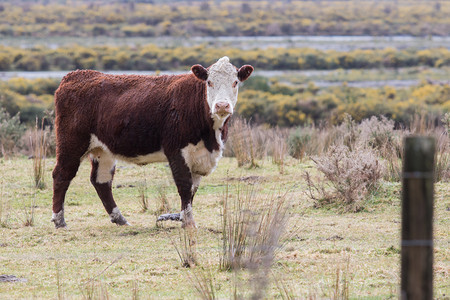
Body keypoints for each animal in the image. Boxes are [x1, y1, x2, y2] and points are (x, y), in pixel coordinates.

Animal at [51, 56, 253, 229]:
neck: (211, 136)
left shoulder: (201, 156)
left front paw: (184, 218)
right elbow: (184, 186)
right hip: (71, 143)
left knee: (101, 181)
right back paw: (59, 220)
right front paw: (188, 223)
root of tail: (76, 75)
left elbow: (193, 189)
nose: (222, 105)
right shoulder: (176, 151)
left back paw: (120, 219)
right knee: (61, 174)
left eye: (235, 82)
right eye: (209, 82)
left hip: (103, 150)